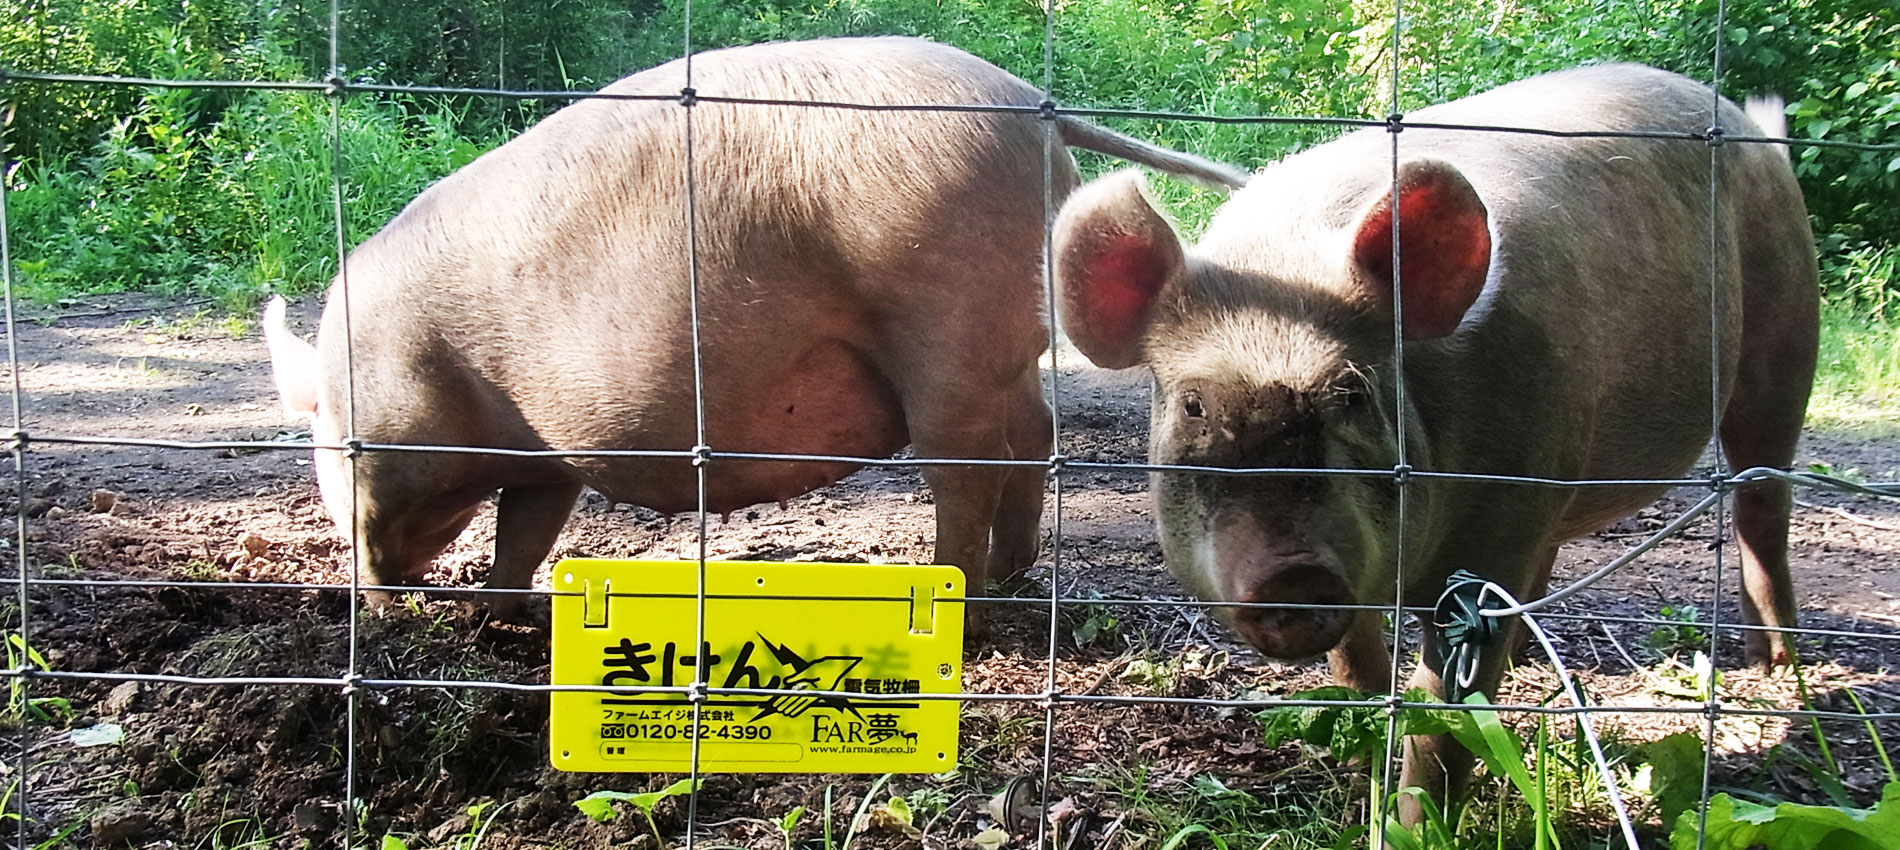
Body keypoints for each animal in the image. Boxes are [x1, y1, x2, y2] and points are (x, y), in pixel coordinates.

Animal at [264, 36, 1246, 616]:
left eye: (320, 437)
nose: (395, 604)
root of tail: (1033, 107)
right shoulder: (545, 456)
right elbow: (525, 532)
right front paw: (495, 618)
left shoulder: (394, 451)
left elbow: (396, 527)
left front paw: (387, 616)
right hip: (998, 341)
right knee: (1033, 435)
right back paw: (1010, 579)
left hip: (944, 325)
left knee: (970, 464)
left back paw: (953, 597)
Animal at [1056, 61, 1808, 817]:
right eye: (1194, 406)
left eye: (1353, 395)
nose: (1294, 572)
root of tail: (1744, 123)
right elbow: (1357, 667)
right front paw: (1359, 758)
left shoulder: (1490, 535)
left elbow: (1446, 717)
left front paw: (1413, 821)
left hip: (1782, 325)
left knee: (1761, 499)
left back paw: (1776, 664)